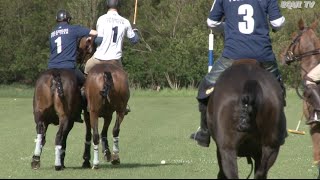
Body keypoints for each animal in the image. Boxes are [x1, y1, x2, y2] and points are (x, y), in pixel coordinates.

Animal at [30, 36, 94, 170]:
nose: (79, 59)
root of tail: (55, 74)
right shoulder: (76, 118)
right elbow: (67, 139)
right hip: (65, 116)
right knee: (59, 136)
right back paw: (58, 164)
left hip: (39, 113)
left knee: (40, 133)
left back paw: (36, 160)